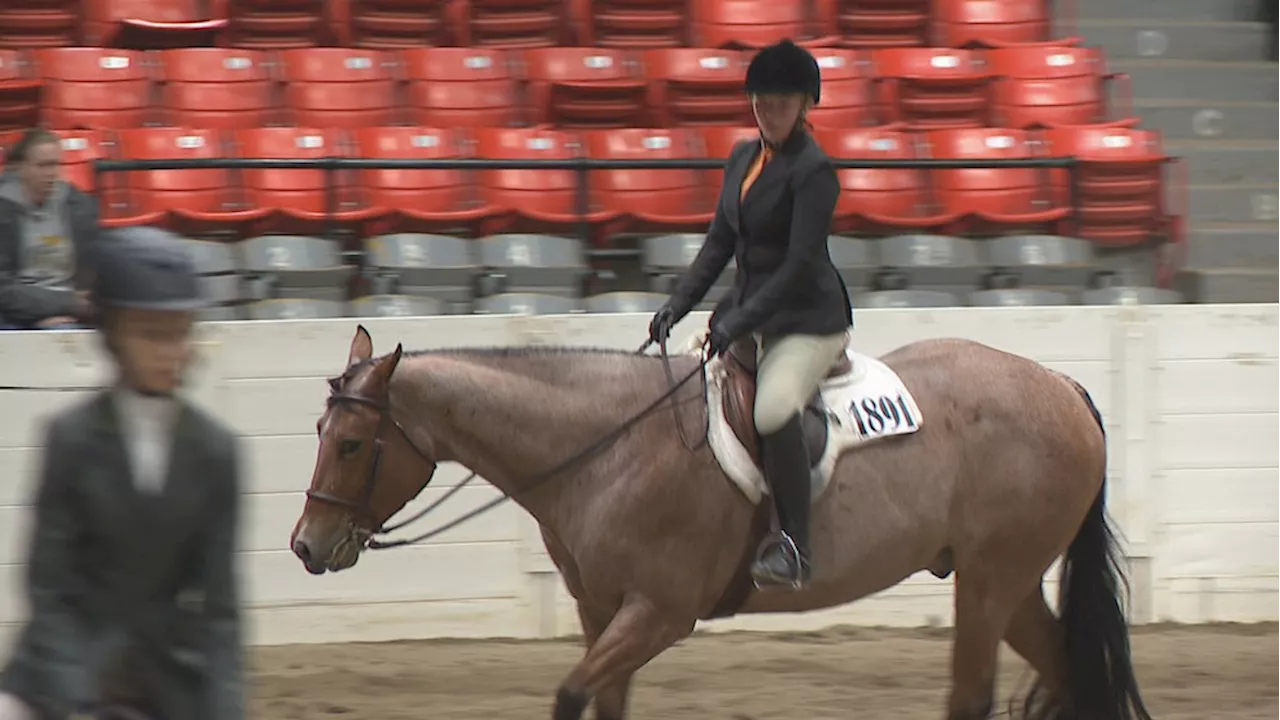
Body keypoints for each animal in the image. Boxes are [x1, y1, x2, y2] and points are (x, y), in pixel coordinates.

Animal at [294, 325, 1157, 717]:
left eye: (353, 443)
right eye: (319, 433)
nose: (306, 547)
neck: (607, 445)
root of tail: (1059, 385)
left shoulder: (658, 612)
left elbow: (571, 696)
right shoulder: (601, 611)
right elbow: (603, 701)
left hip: (988, 581)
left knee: (973, 695)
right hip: (1006, 583)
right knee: (1067, 670)